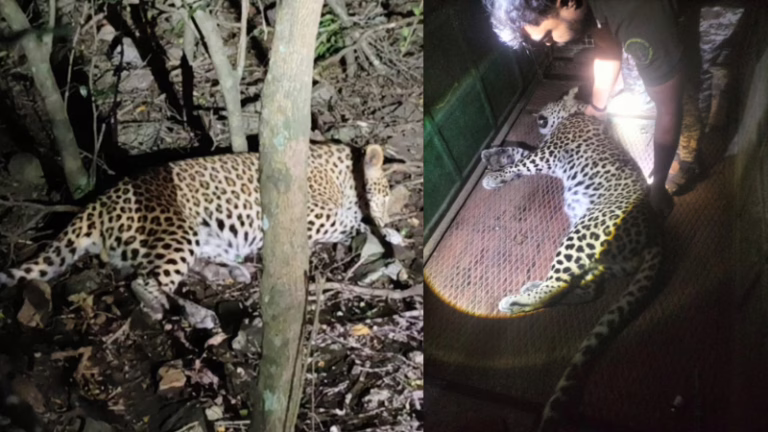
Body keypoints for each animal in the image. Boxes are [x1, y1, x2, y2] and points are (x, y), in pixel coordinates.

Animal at [0, 143, 391, 330]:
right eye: (385, 195)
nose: (389, 216)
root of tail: (97, 204)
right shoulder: (304, 215)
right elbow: (348, 218)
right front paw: (385, 232)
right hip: (176, 232)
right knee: (146, 282)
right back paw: (194, 312)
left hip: (201, 235)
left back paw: (229, 272)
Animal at [482, 87, 663, 432]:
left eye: (548, 104)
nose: (535, 114)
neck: (575, 113)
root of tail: (652, 235)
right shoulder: (545, 154)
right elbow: (521, 149)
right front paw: (493, 155)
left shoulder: (547, 155)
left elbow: (523, 159)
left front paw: (495, 175)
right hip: (597, 254)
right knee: (587, 289)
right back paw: (532, 292)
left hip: (583, 231)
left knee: (560, 280)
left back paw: (517, 301)